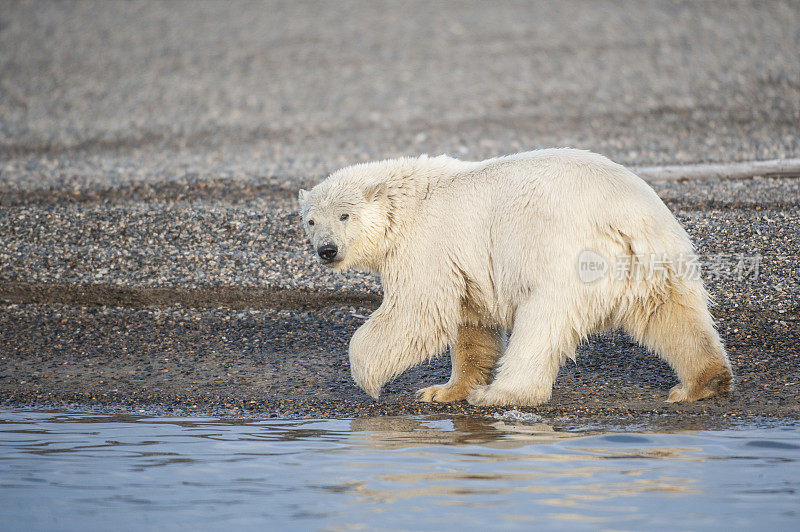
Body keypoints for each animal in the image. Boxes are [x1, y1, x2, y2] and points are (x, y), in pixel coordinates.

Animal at [298, 150, 732, 408]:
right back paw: (701, 383)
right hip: (658, 258)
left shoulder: (429, 244)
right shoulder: (467, 266)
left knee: (541, 324)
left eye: (344, 215)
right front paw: (444, 391)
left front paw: (368, 377)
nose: (326, 250)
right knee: (673, 315)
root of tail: (626, 216)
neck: (405, 201)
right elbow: (471, 325)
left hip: (564, 256)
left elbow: (419, 310)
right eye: (311, 220)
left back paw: (500, 394)